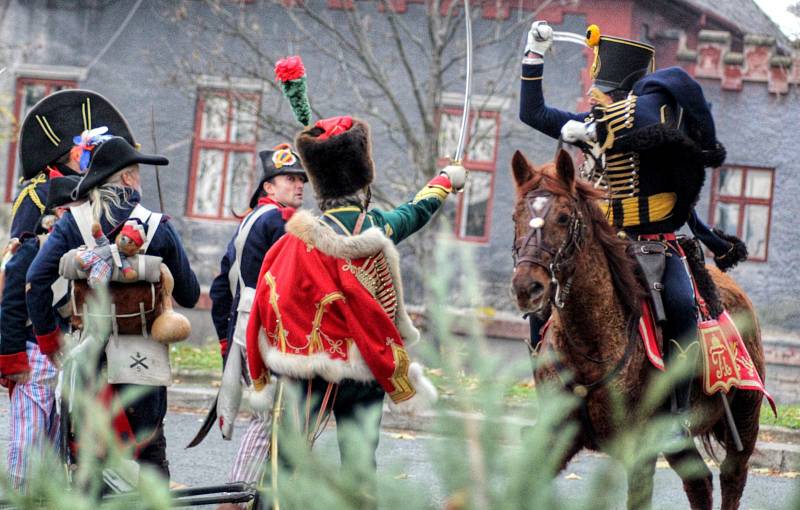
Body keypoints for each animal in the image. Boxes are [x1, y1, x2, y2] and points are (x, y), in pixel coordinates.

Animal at [510, 148, 764, 510]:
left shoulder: (639, 451)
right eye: (515, 217)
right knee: (699, 480)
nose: (526, 287)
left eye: (563, 218)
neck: (590, 344)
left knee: (732, 476)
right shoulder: (554, 439)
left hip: (744, 417)